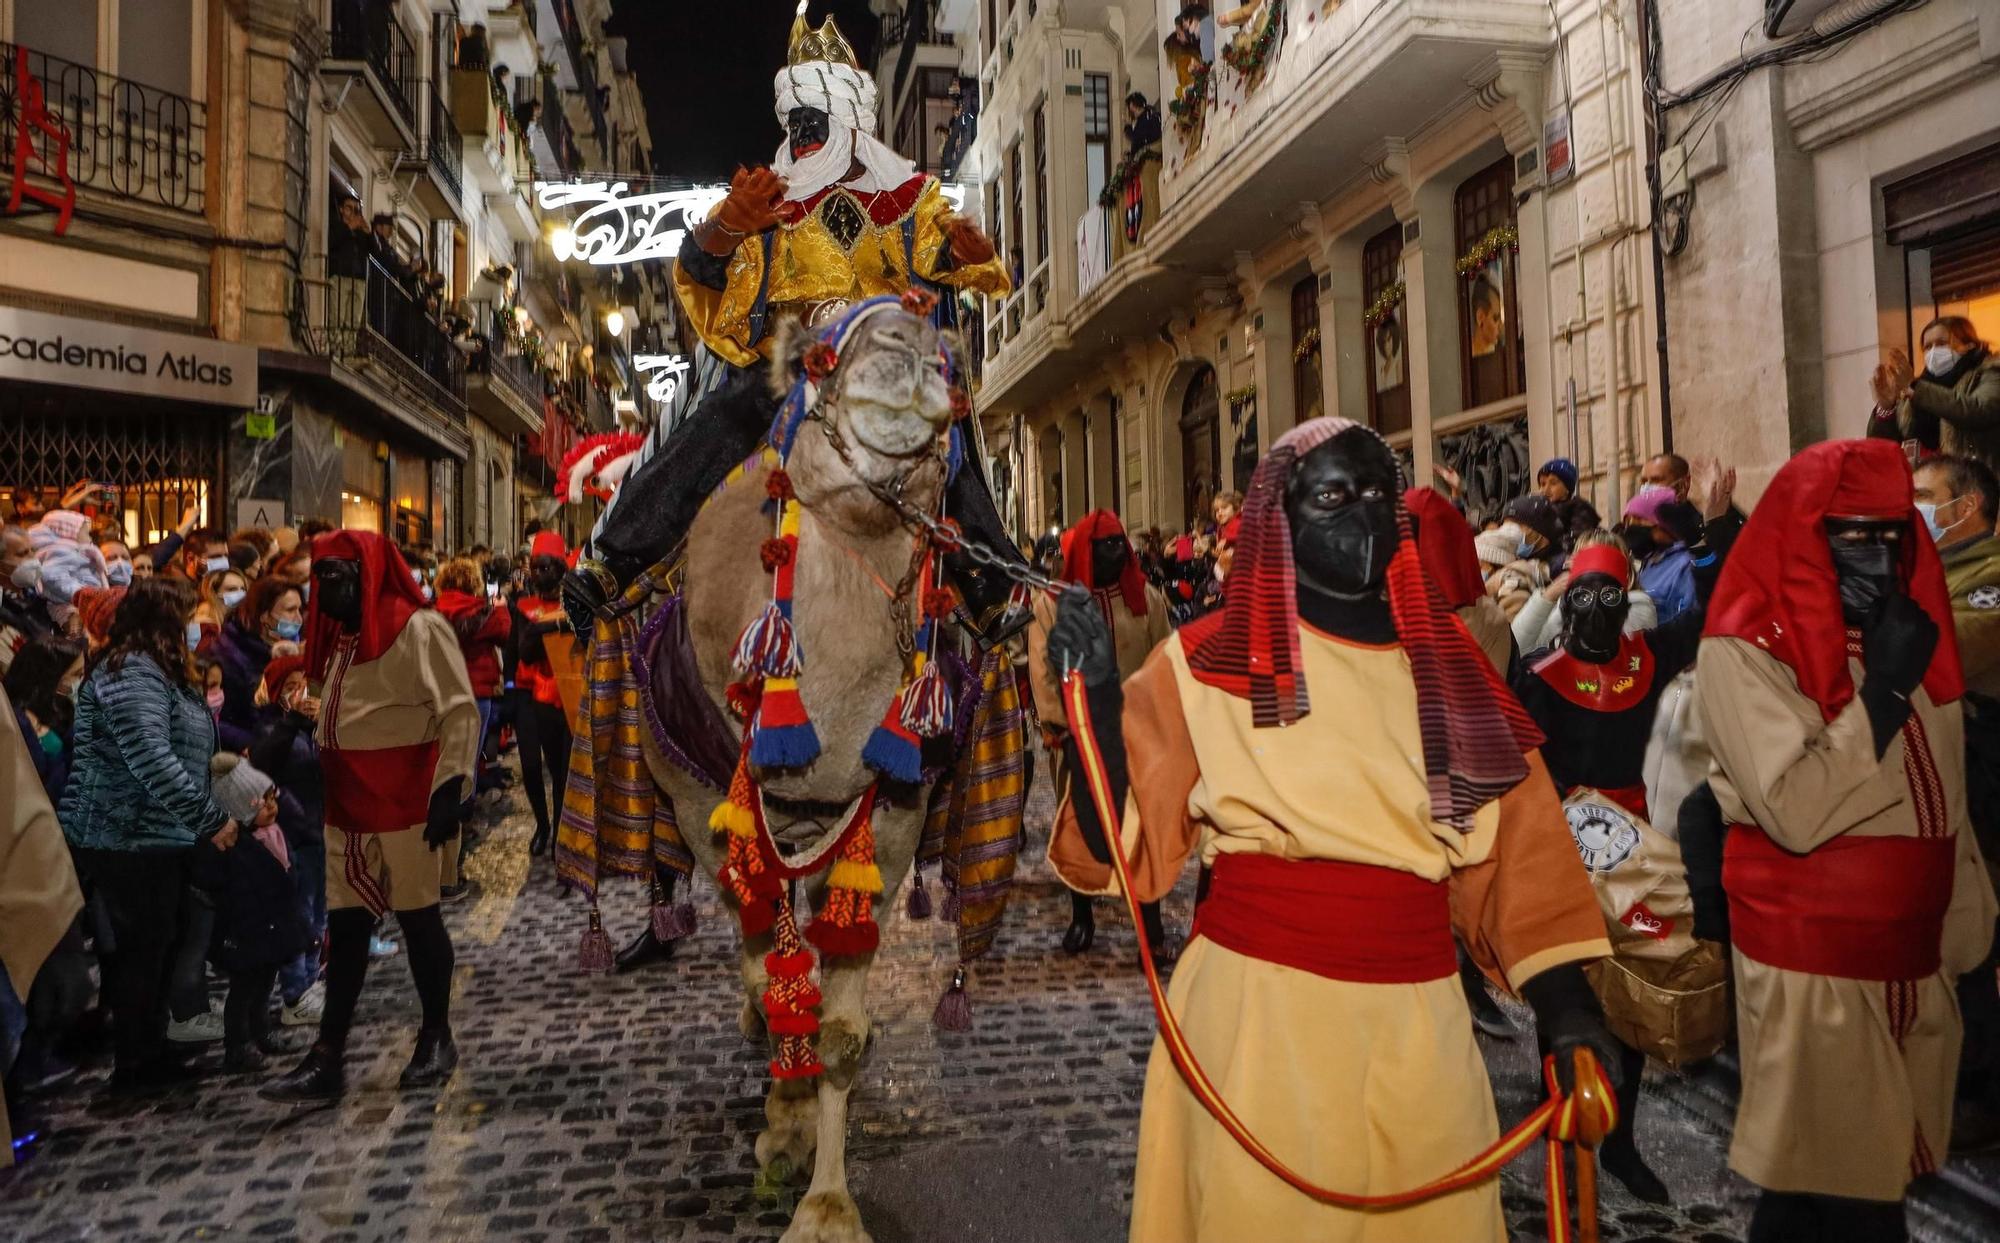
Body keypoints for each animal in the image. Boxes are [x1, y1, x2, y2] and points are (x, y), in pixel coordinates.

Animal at [640, 301, 952, 1243]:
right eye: (815, 352)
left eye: (946, 345)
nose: (912, 353)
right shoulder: (716, 814)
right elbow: (770, 981)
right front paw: (784, 1136)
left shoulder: (891, 823)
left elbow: (841, 1029)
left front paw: (826, 1204)